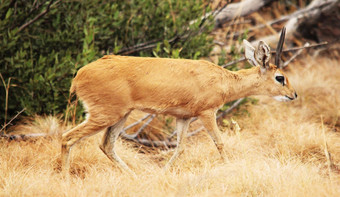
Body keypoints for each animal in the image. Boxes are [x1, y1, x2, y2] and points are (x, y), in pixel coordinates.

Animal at [61, 27, 298, 174]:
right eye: (280, 77)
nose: (293, 94)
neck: (223, 80)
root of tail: (79, 75)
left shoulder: (183, 118)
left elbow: (180, 148)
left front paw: (163, 173)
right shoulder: (207, 113)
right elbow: (220, 143)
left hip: (121, 116)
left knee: (106, 145)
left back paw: (135, 176)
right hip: (104, 115)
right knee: (67, 138)